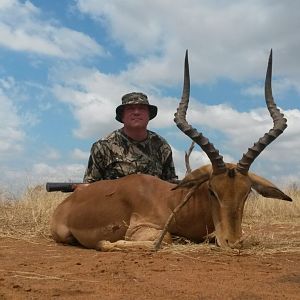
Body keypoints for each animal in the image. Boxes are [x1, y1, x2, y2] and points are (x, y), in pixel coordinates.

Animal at [50, 49, 292, 251]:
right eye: (212, 190)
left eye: (246, 192)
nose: (233, 242)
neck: (172, 200)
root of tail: (66, 203)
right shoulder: (140, 230)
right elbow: (163, 239)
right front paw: (104, 243)